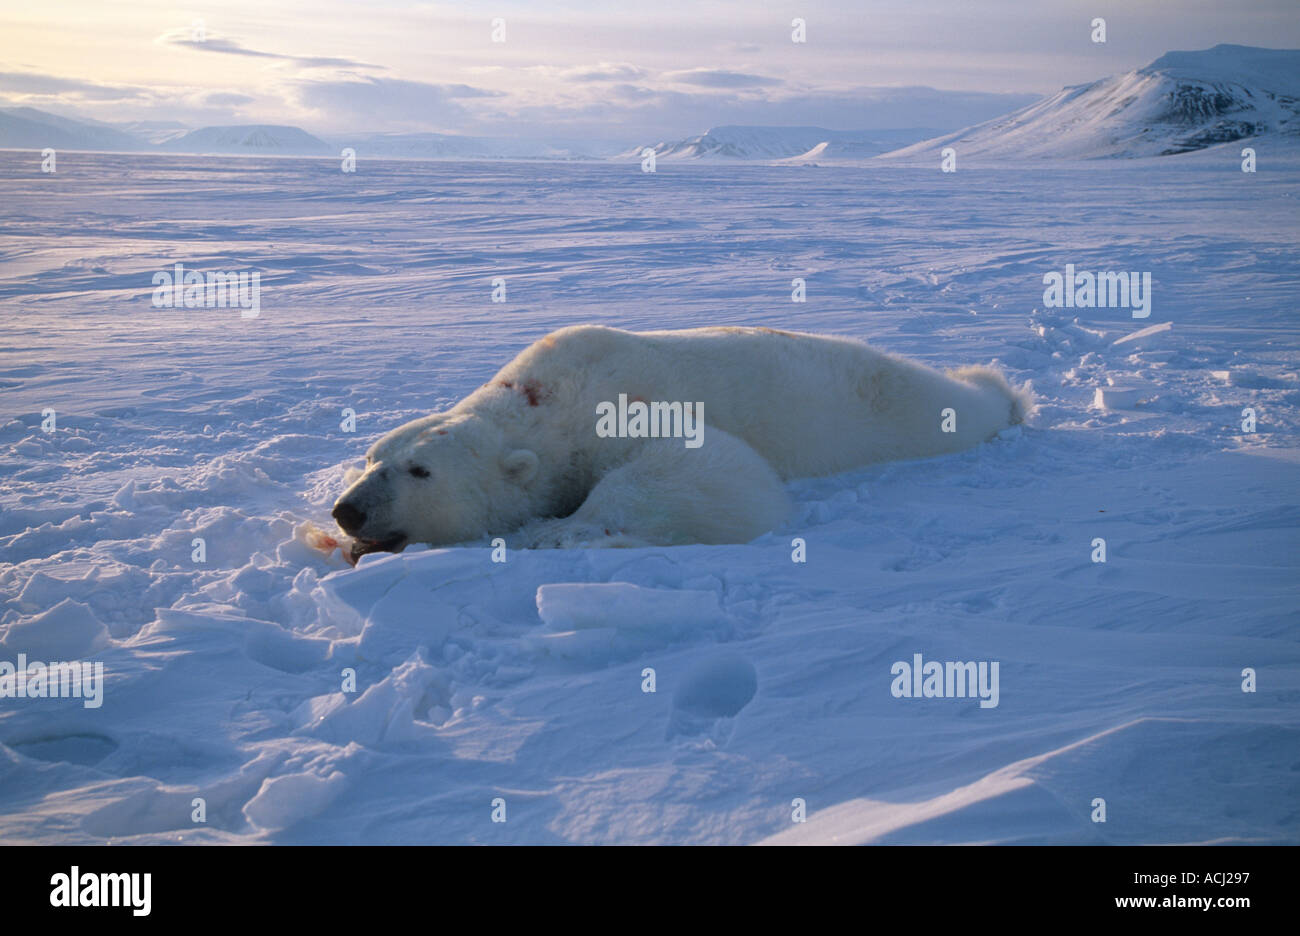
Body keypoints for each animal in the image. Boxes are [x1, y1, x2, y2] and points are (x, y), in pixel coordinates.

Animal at [330, 327, 1029, 564]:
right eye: (371, 459)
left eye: (420, 471)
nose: (347, 511)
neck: (543, 401)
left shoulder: (617, 407)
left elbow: (714, 467)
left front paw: (559, 532)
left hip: (907, 408)